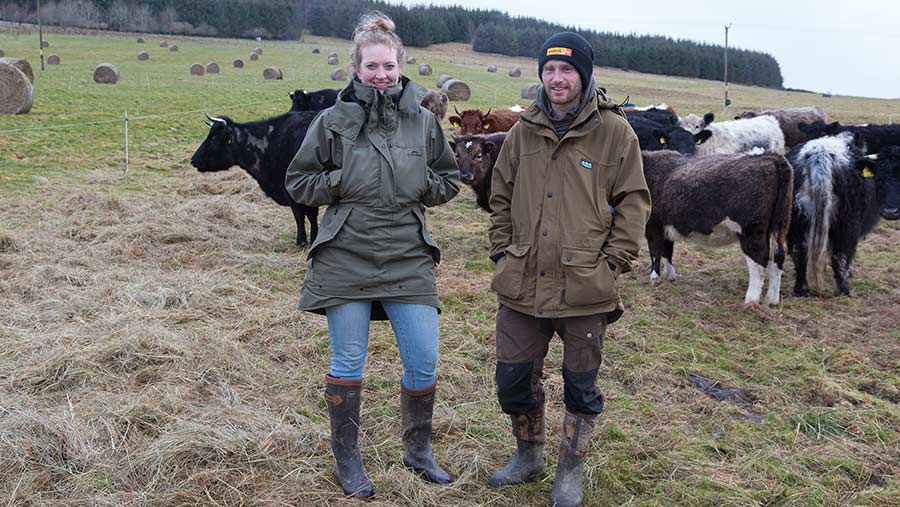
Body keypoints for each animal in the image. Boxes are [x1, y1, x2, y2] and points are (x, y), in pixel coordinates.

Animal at [190, 112, 320, 247]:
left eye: (214, 139)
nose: (193, 160)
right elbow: (311, 216)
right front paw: (313, 239)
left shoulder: (293, 191)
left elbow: (301, 216)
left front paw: (302, 241)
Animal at [640, 151, 796, 306]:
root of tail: (770, 157)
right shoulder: (666, 228)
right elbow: (667, 253)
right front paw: (670, 276)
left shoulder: (653, 226)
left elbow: (655, 253)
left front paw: (654, 279)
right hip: (779, 227)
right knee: (778, 257)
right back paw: (772, 300)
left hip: (751, 232)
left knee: (759, 260)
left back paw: (751, 301)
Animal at [788, 134, 900, 298]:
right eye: (880, 178)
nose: (890, 211)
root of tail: (820, 153)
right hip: (845, 226)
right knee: (839, 256)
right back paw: (843, 290)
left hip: (796, 222)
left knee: (799, 253)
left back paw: (801, 290)